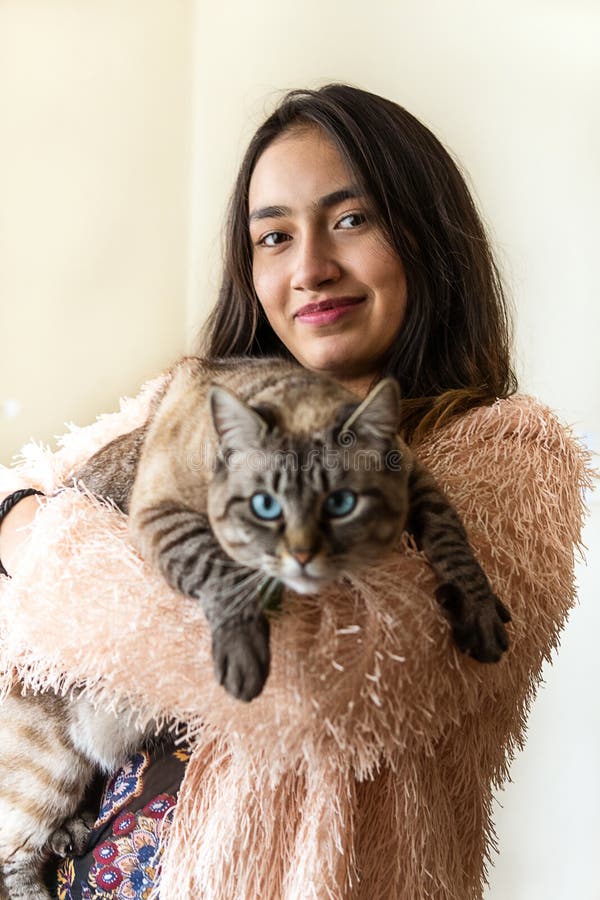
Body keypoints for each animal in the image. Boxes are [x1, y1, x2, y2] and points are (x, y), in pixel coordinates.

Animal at [0, 356, 510, 896]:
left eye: (341, 504)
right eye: (265, 507)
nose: (303, 556)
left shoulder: (419, 483)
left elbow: (451, 535)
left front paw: (477, 608)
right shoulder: (163, 518)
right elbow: (216, 570)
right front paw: (245, 642)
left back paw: (71, 833)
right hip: (49, 767)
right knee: (14, 860)